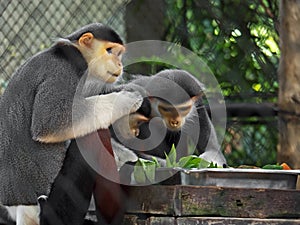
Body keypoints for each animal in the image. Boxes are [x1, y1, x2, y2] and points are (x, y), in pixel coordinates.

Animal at [0, 23, 144, 225]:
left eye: (119, 54)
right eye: (109, 51)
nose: (119, 64)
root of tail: (21, 208)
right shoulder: (63, 73)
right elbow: (50, 123)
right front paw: (126, 99)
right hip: (56, 210)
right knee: (92, 136)